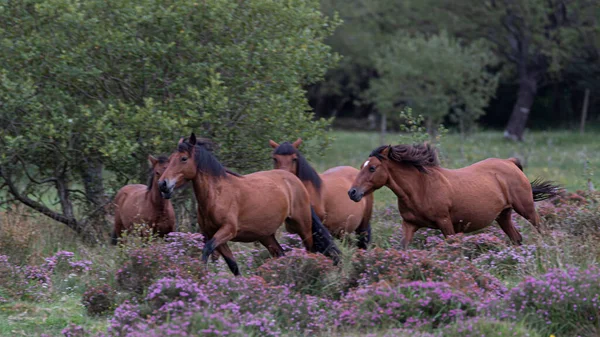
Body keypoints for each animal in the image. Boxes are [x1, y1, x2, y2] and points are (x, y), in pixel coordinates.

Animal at [157, 133, 340, 274]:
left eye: (183, 158)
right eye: (170, 159)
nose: (163, 184)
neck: (218, 195)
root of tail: (295, 180)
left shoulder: (227, 231)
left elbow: (207, 250)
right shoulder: (214, 234)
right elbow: (233, 265)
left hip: (303, 226)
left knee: (310, 250)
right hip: (266, 235)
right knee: (280, 254)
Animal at [350, 143, 560, 248]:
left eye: (372, 168)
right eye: (361, 166)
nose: (352, 192)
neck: (420, 188)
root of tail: (510, 162)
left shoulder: (445, 222)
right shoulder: (409, 224)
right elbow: (402, 247)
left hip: (526, 209)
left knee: (542, 230)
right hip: (503, 215)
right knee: (516, 238)